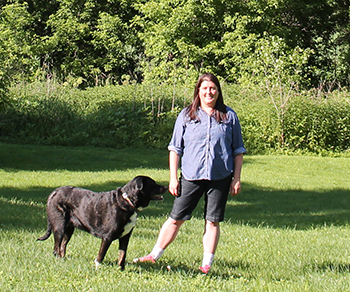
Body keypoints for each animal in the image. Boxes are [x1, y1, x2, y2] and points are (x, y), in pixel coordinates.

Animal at [37, 176, 166, 270]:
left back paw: (64, 260)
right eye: (153, 184)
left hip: (69, 229)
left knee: (63, 245)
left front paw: (121, 269)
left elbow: (122, 255)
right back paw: (59, 260)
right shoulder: (107, 237)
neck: (128, 202)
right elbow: (101, 255)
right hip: (59, 226)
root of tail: (54, 192)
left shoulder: (125, 236)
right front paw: (98, 266)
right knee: (56, 247)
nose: (165, 187)